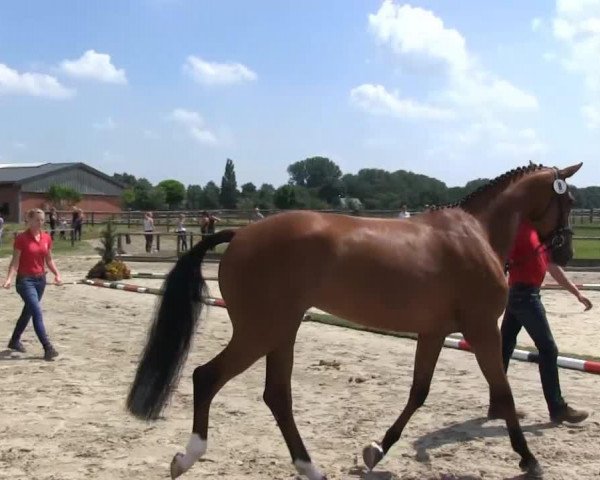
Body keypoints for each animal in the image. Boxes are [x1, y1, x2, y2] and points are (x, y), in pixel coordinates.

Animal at [125, 163, 580, 478]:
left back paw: (309, 468)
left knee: (277, 397)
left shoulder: (433, 333)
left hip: (281, 332)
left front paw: (376, 451)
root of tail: (240, 235)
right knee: (207, 377)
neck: (474, 234)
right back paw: (187, 457)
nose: (565, 253)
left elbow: (418, 393)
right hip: (261, 331)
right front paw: (529, 459)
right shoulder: (481, 329)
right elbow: (504, 394)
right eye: (570, 201)